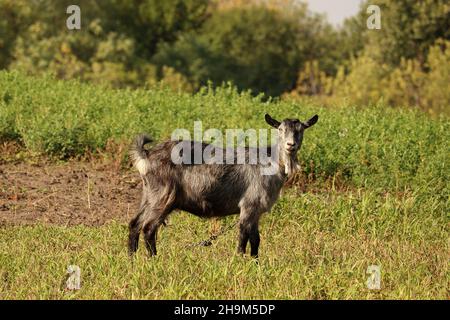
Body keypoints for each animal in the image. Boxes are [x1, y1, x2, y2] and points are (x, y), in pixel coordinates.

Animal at [128, 113, 318, 258]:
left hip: (149, 195)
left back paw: (132, 259)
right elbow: (243, 237)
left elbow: (256, 240)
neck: (270, 162)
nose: (290, 145)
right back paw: (153, 259)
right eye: (280, 129)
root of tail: (147, 155)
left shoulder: (256, 212)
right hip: (163, 197)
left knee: (135, 224)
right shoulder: (249, 206)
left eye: (301, 130)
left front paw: (256, 263)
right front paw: (240, 261)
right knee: (149, 228)